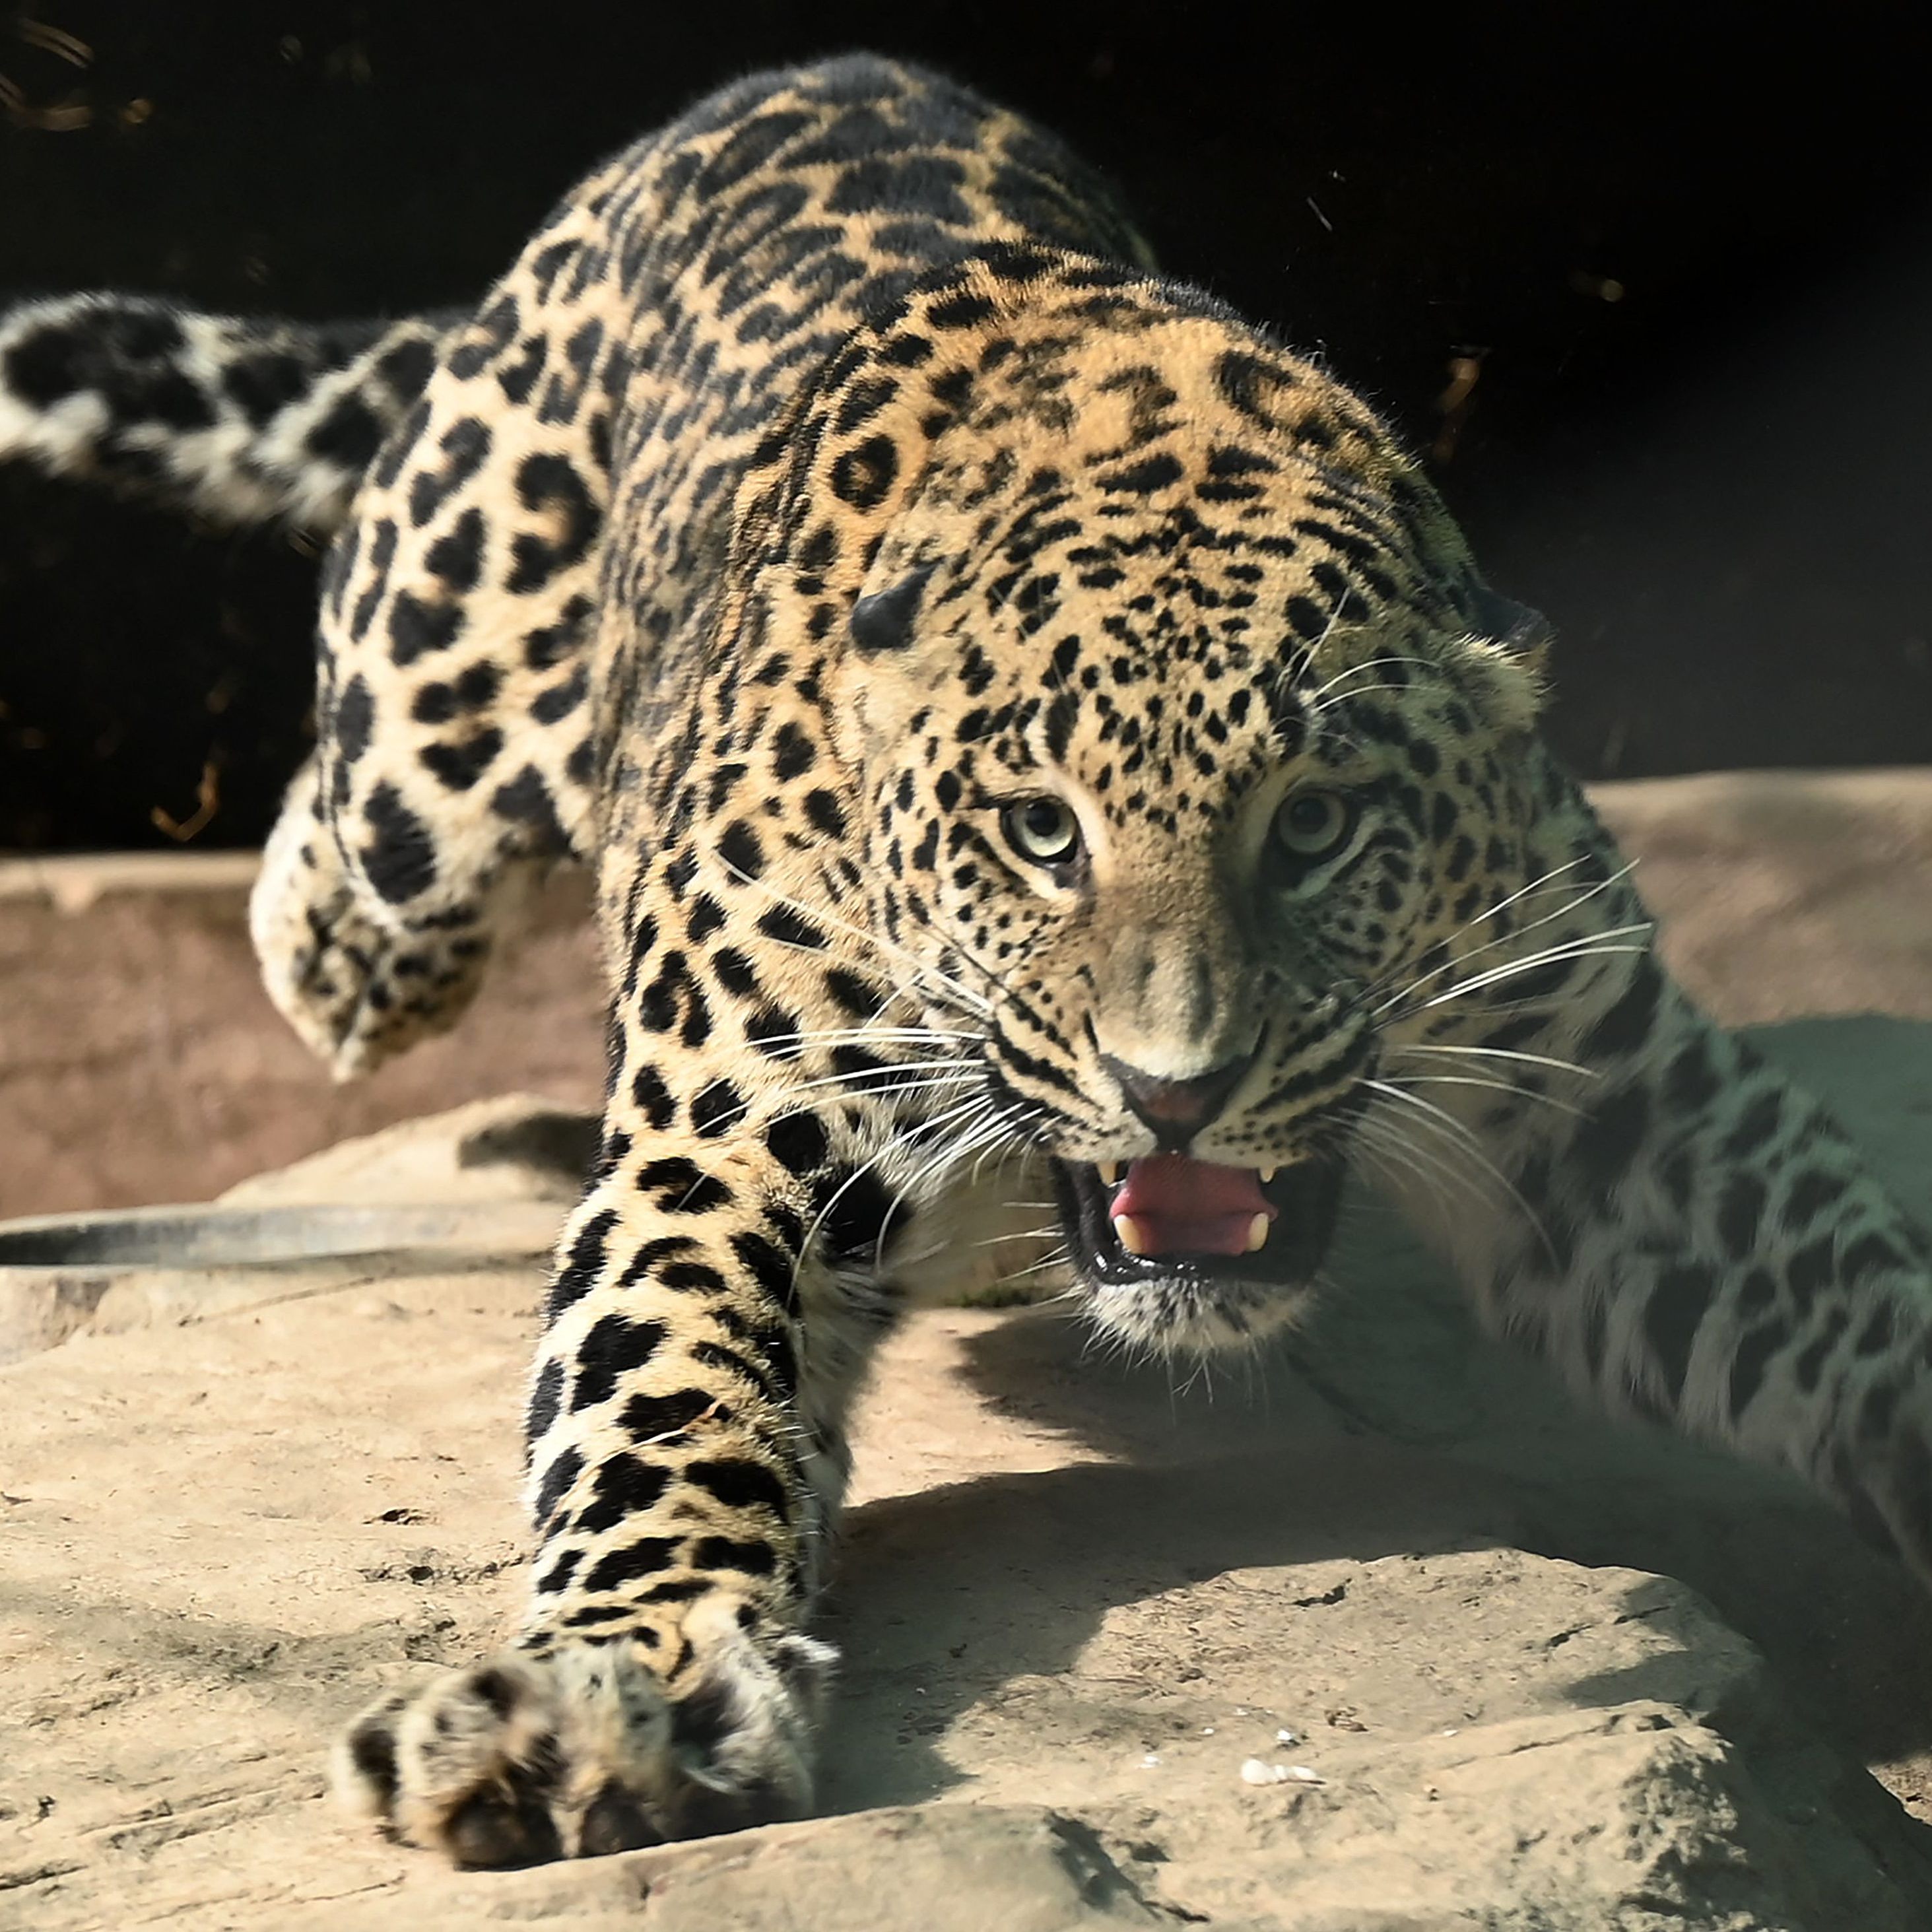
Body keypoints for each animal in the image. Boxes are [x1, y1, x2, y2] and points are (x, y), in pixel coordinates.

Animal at [6, 50, 1932, 1870]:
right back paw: (334, 938)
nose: (1175, 1091)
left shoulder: (1614, 1094)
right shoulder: (727, 1136)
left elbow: (1839, 1278)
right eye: (1038, 831)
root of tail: (811, 70)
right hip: (433, 697)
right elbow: (662, 1400)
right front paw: (619, 1688)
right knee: (351, 859)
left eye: (1314, 825)